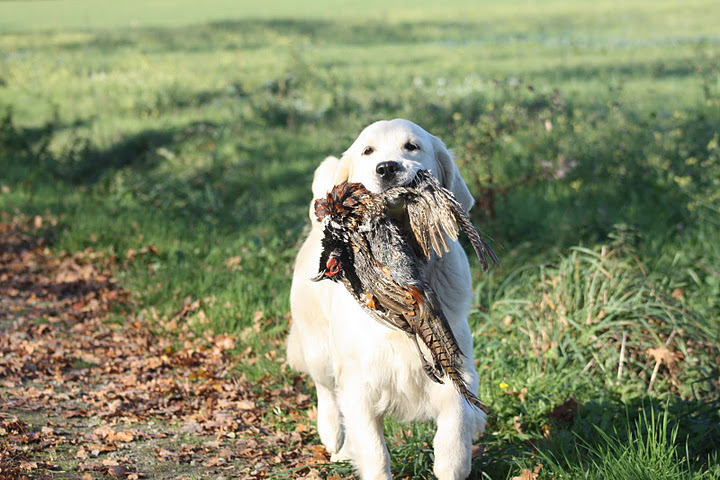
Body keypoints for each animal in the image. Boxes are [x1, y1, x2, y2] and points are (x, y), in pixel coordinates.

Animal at [286, 118, 484, 478]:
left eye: (412, 146)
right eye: (368, 150)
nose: (387, 168)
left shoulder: (453, 362)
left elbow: (455, 431)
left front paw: (452, 460)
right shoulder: (360, 386)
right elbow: (375, 453)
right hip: (318, 348)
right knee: (326, 391)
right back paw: (332, 435)